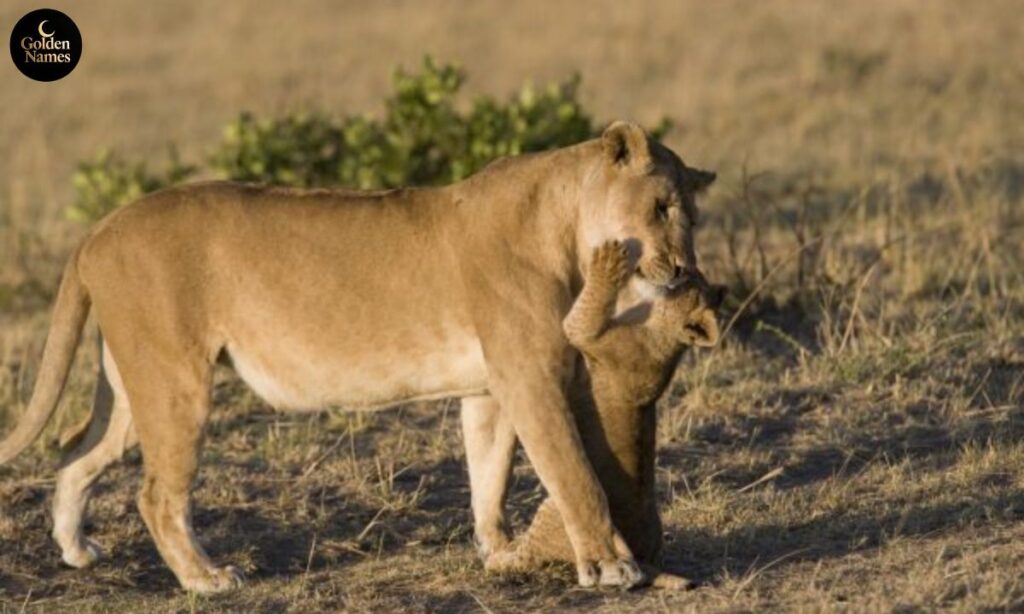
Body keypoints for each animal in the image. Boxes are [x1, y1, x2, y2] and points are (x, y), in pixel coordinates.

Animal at [484, 240, 724, 589]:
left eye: (690, 282)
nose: (682, 267)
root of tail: (643, 561)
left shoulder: (585, 334)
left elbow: (582, 315)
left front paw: (608, 260)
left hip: (553, 508)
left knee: (529, 555)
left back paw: (499, 557)